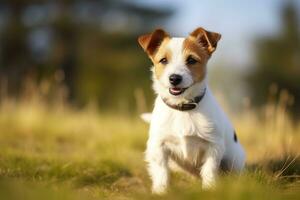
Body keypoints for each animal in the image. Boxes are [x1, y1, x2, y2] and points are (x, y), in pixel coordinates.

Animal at [138, 27, 246, 194]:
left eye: (191, 60)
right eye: (163, 60)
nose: (174, 78)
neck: (183, 108)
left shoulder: (213, 146)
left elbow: (209, 170)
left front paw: (209, 190)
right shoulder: (158, 145)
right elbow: (161, 171)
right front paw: (160, 191)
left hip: (234, 160)